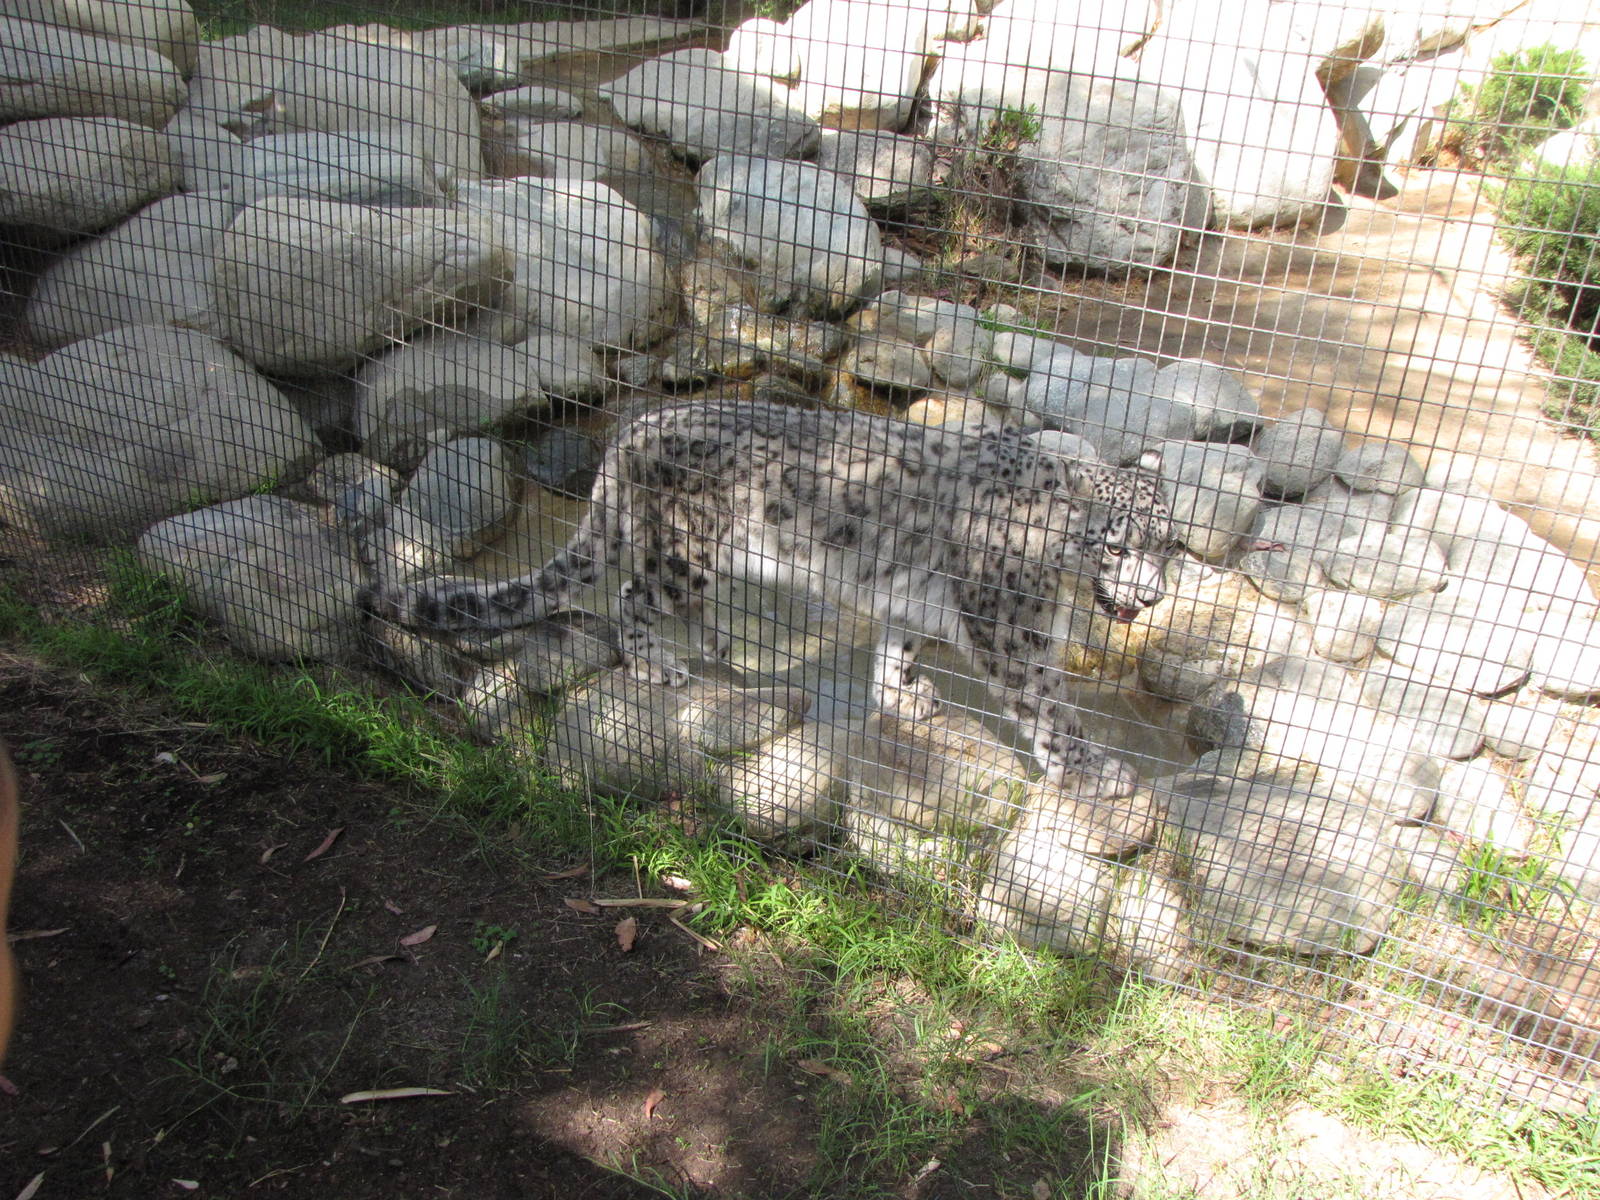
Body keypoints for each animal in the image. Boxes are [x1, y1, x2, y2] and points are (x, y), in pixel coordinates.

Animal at [375, 400, 1174, 798]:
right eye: (1116, 547)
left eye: (1169, 546)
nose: (1148, 597)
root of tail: (630, 431)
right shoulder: (1009, 621)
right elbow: (1046, 701)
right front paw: (1093, 772)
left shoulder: (920, 595)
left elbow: (901, 639)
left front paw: (902, 694)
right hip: (685, 551)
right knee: (633, 593)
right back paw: (657, 663)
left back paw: (718, 643)